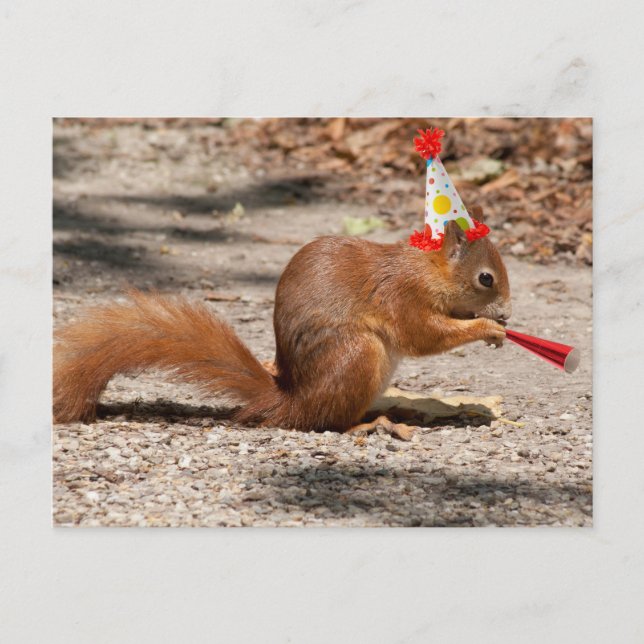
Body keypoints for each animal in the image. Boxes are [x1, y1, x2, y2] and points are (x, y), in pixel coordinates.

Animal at [53, 212, 511, 440]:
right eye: (486, 278)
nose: (507, 312)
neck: (428, 268)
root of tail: (293, 400)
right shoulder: (404, 295)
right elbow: (423, 335)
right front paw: (489, 329)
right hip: (359, 355)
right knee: (325, 422)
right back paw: (371, 424)